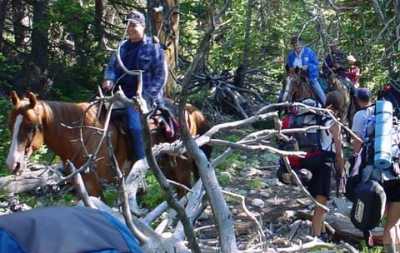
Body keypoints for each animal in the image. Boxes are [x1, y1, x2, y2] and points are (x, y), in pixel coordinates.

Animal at [6, 91, 211, 198]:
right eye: (10, 125)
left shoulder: (95, 184)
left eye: (31, 126)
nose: (12, 163)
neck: (81, 134)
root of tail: (190, 110)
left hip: (183, 165)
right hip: (167, 166)